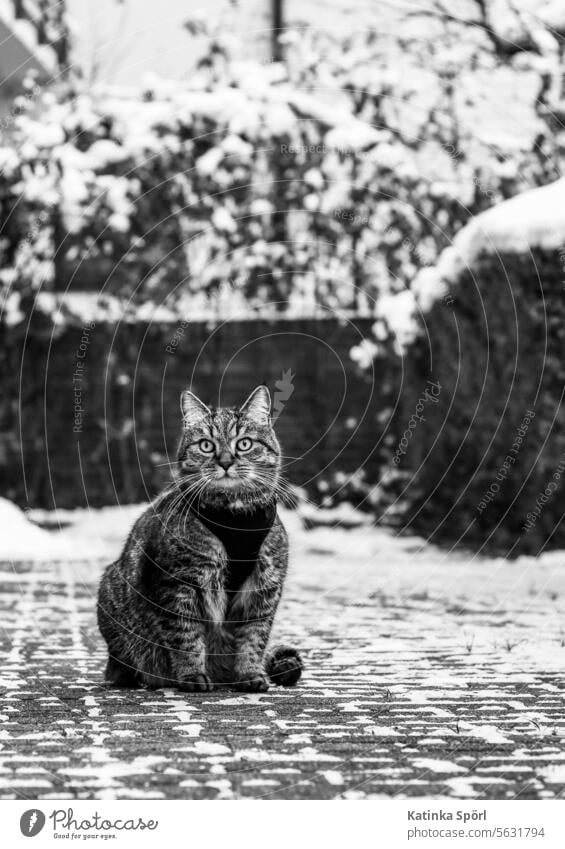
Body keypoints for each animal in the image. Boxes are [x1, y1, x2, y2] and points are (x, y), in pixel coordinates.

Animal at [95, 388, 302, 692]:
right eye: (206, 445)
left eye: (244, 444)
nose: (225, 462)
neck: (233, 516)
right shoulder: (178, 583)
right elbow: (186, 635)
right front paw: (192, 675)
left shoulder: (265, 587)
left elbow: (254, 638)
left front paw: (250, 674)